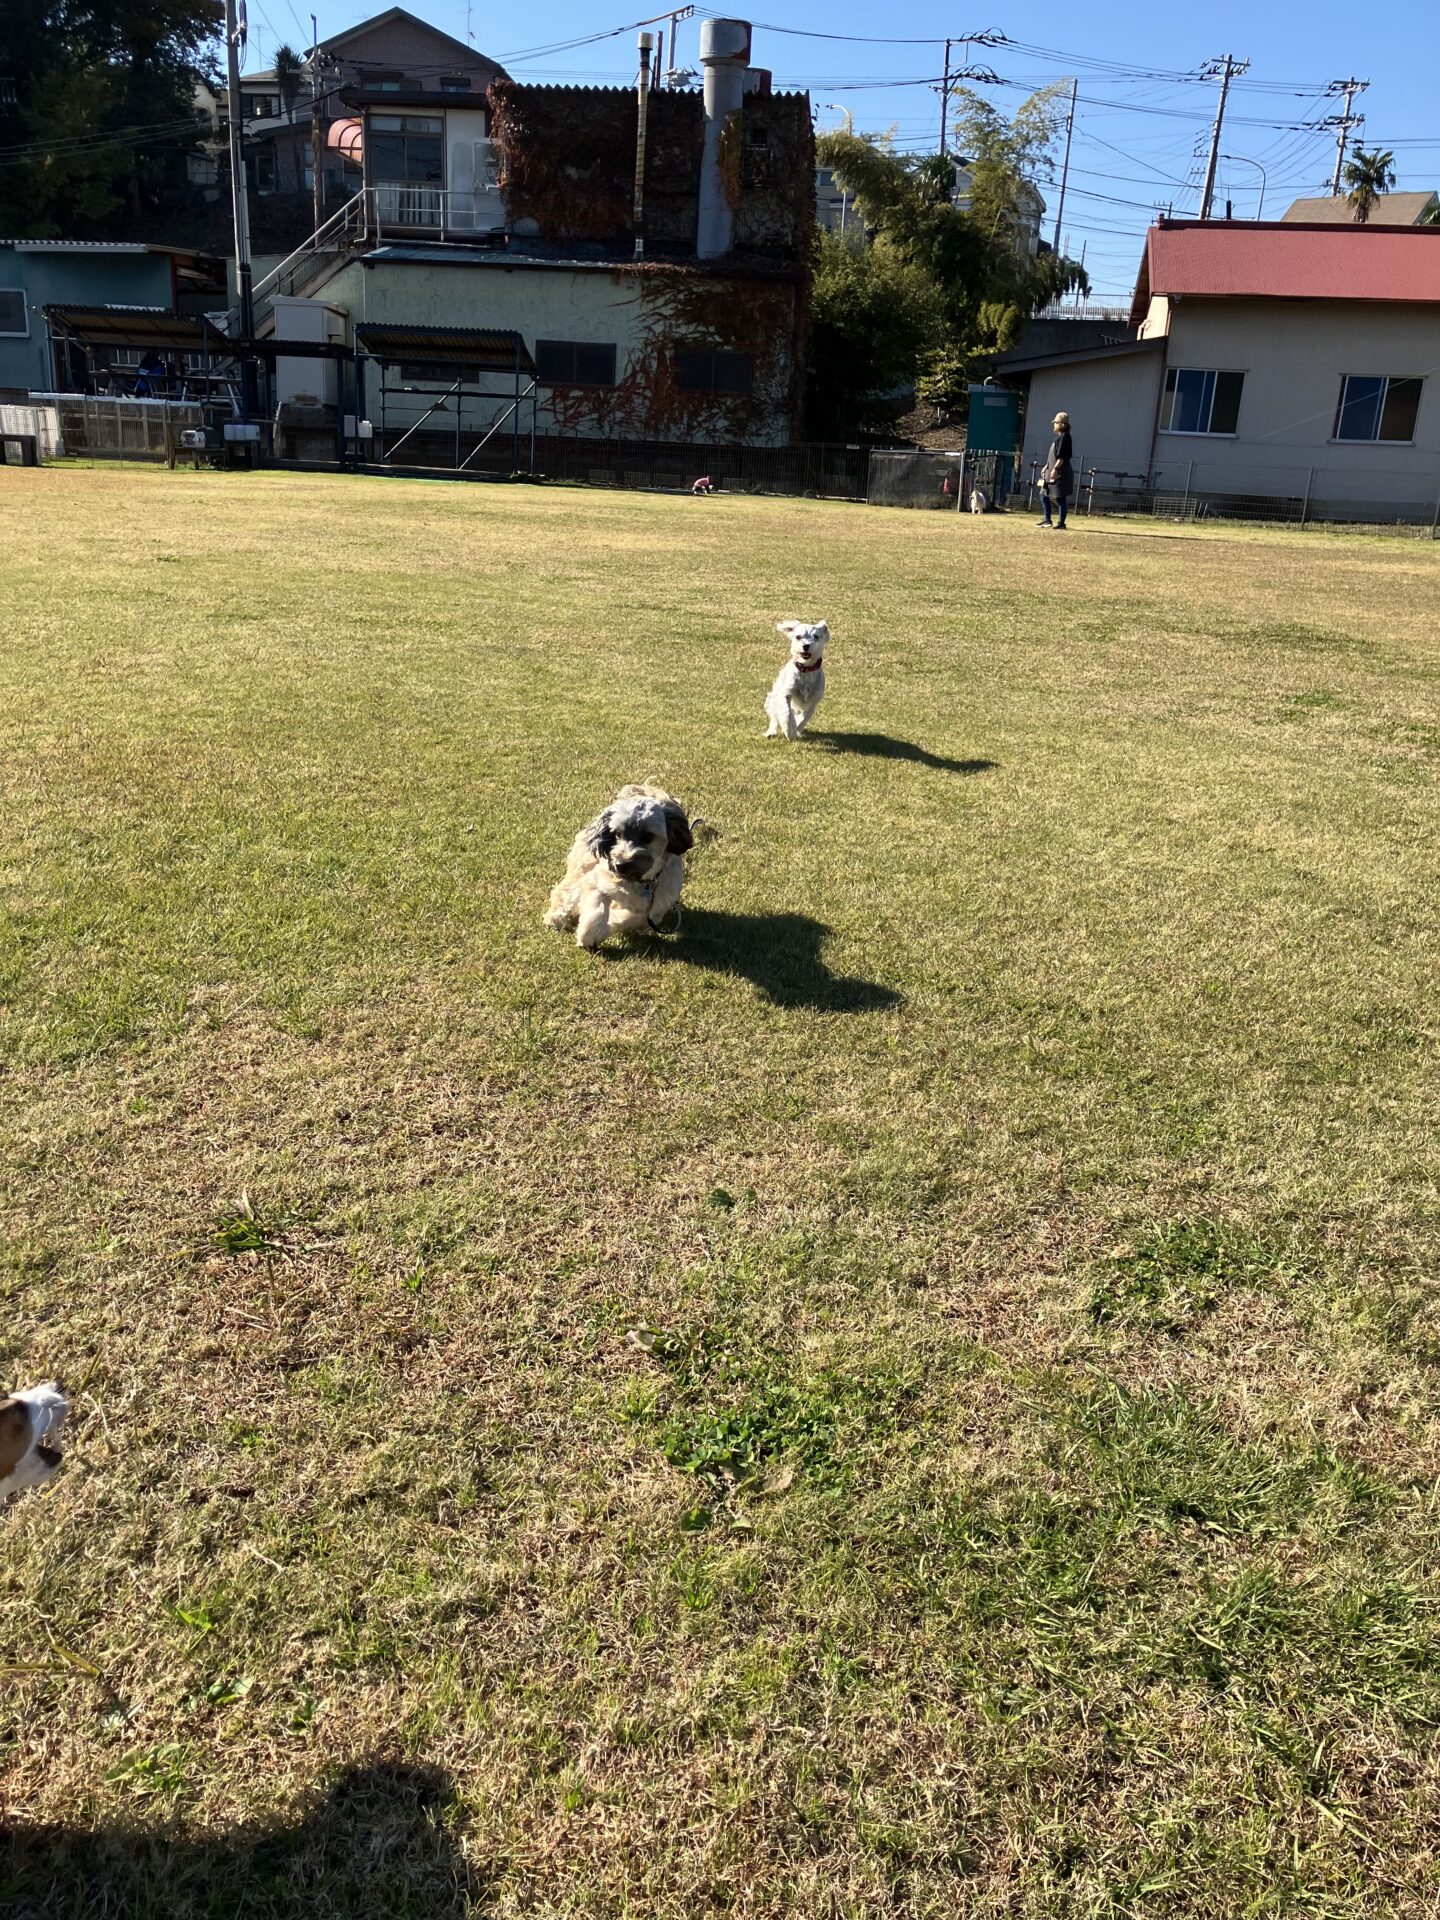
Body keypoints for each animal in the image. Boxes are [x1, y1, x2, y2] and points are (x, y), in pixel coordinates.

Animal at [545, 784, 693, 950]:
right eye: (617, 834)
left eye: (648, 837)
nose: (621, 864)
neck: (640, 883)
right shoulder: (597, 881)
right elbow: (597, 909)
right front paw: (588, 936)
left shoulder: (656, 908)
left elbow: (632, 917)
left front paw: (613, 919)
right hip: (583, 864)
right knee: (566, 890)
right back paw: (555, 917)